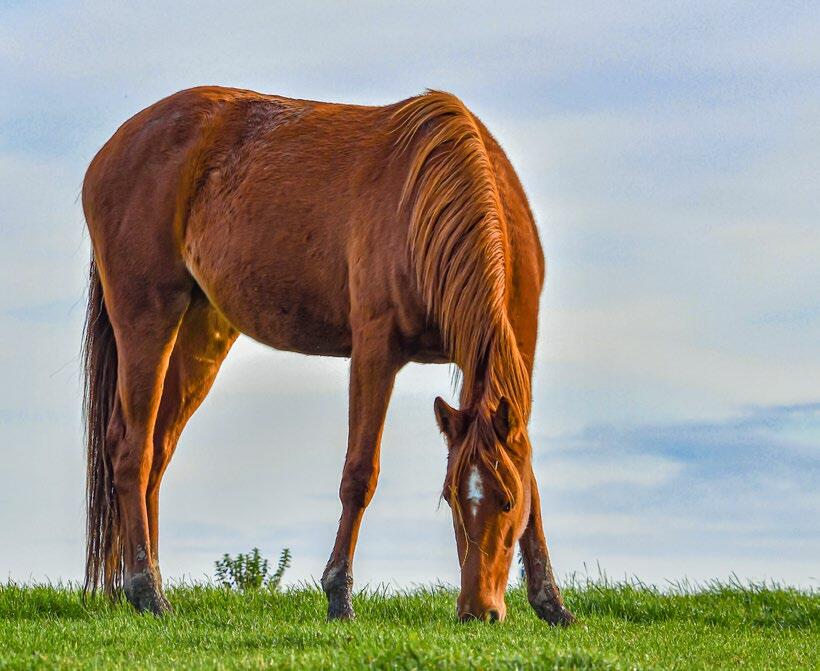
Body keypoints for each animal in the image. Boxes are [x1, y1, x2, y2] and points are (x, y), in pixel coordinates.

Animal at [81, 86, 574, 625]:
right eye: (450, 499)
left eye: (505, 501)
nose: (477, 610)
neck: (433, 196)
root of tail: (112, 150)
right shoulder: (375, 350)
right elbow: (359, 474)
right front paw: (339, 594)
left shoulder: (514, 355)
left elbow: (532, 478)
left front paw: (550, 601)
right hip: (147, 319)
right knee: (133, 449)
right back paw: (147, 590)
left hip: (199, 332)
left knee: (158, 450)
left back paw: (146, 582)